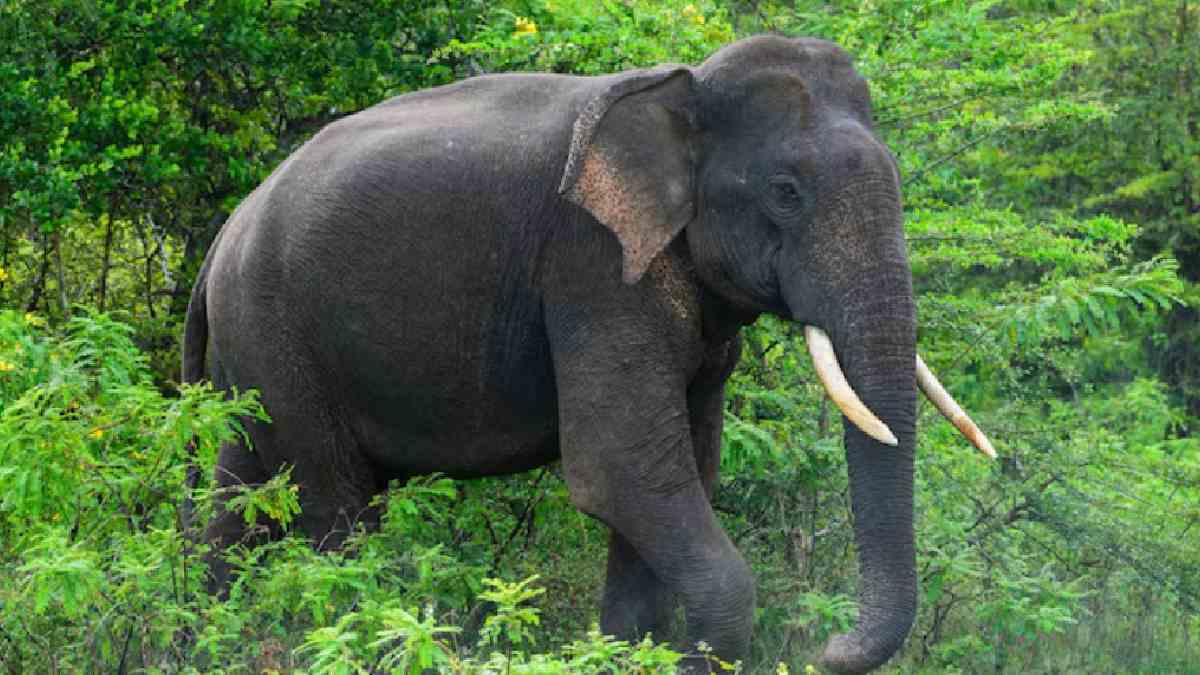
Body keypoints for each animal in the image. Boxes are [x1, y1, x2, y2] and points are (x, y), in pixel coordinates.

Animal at [182, 35, 993, 674]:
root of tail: (223, 239)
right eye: (786, 191)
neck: (683, 88)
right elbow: (621, 469)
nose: (828, 647)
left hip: (252, 358)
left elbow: (677, 472)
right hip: (278, 335)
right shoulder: (591, 266)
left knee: (238, 495)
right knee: (335, 506)